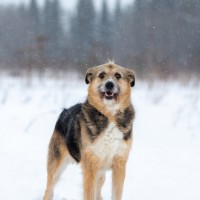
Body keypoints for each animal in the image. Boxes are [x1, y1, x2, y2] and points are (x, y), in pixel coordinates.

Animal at [43, 62, 135, 200]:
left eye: (118, 76)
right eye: (102, 75)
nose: (109, 84)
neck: (110, 115)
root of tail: (65, 111)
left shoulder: (119, 163)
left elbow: (116, 193)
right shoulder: (91, 164)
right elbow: (89, 193)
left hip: (100, 173)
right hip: (56, 166)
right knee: (49, 189)